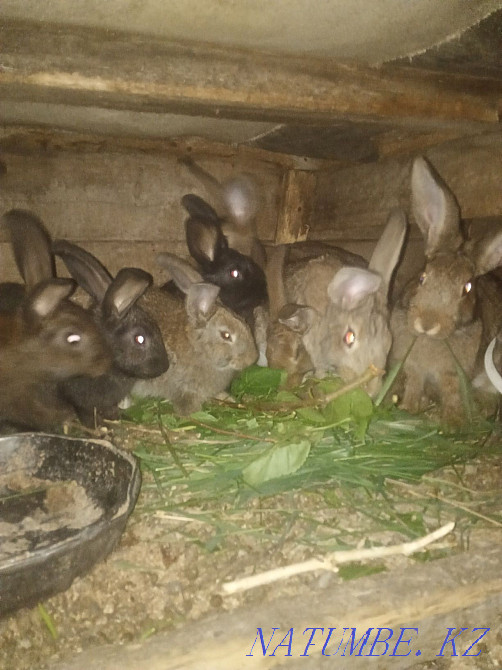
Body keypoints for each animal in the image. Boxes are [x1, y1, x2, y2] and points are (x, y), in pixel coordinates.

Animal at [133, 253, 258, 415]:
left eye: (245, 323)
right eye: (226, 335)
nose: (252, 359)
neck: (199, 350)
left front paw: (229, 399)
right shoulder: (183, 389)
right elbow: (187, 406)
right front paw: (194, 415)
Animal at [389, 156, 502, 425]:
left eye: (467, 288)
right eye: (422, 277)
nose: (427, 324)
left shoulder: (453, 372)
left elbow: (452, 392)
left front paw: (452, 423)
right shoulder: (414, 367)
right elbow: (414, 384)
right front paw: (409, 409)